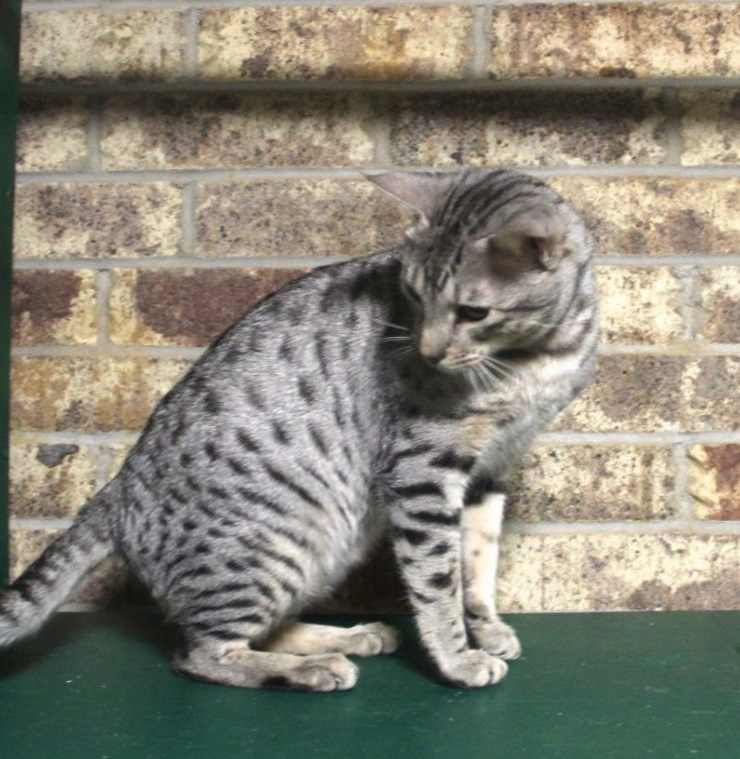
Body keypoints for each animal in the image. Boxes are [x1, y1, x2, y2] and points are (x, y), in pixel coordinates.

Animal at [0, 169, 600, 692]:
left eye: (473, 311)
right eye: (411, 294)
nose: (427, 351)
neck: (537, 358)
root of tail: (115, 491)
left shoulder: (492, 466)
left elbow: (477, 564)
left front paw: (487, 629)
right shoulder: (423, 470)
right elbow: (437, 580)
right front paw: (457, 659)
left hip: (318, 550)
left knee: (263, 631)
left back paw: (352, 638)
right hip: (267, 547)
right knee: (202, 653)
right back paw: (314, 668)